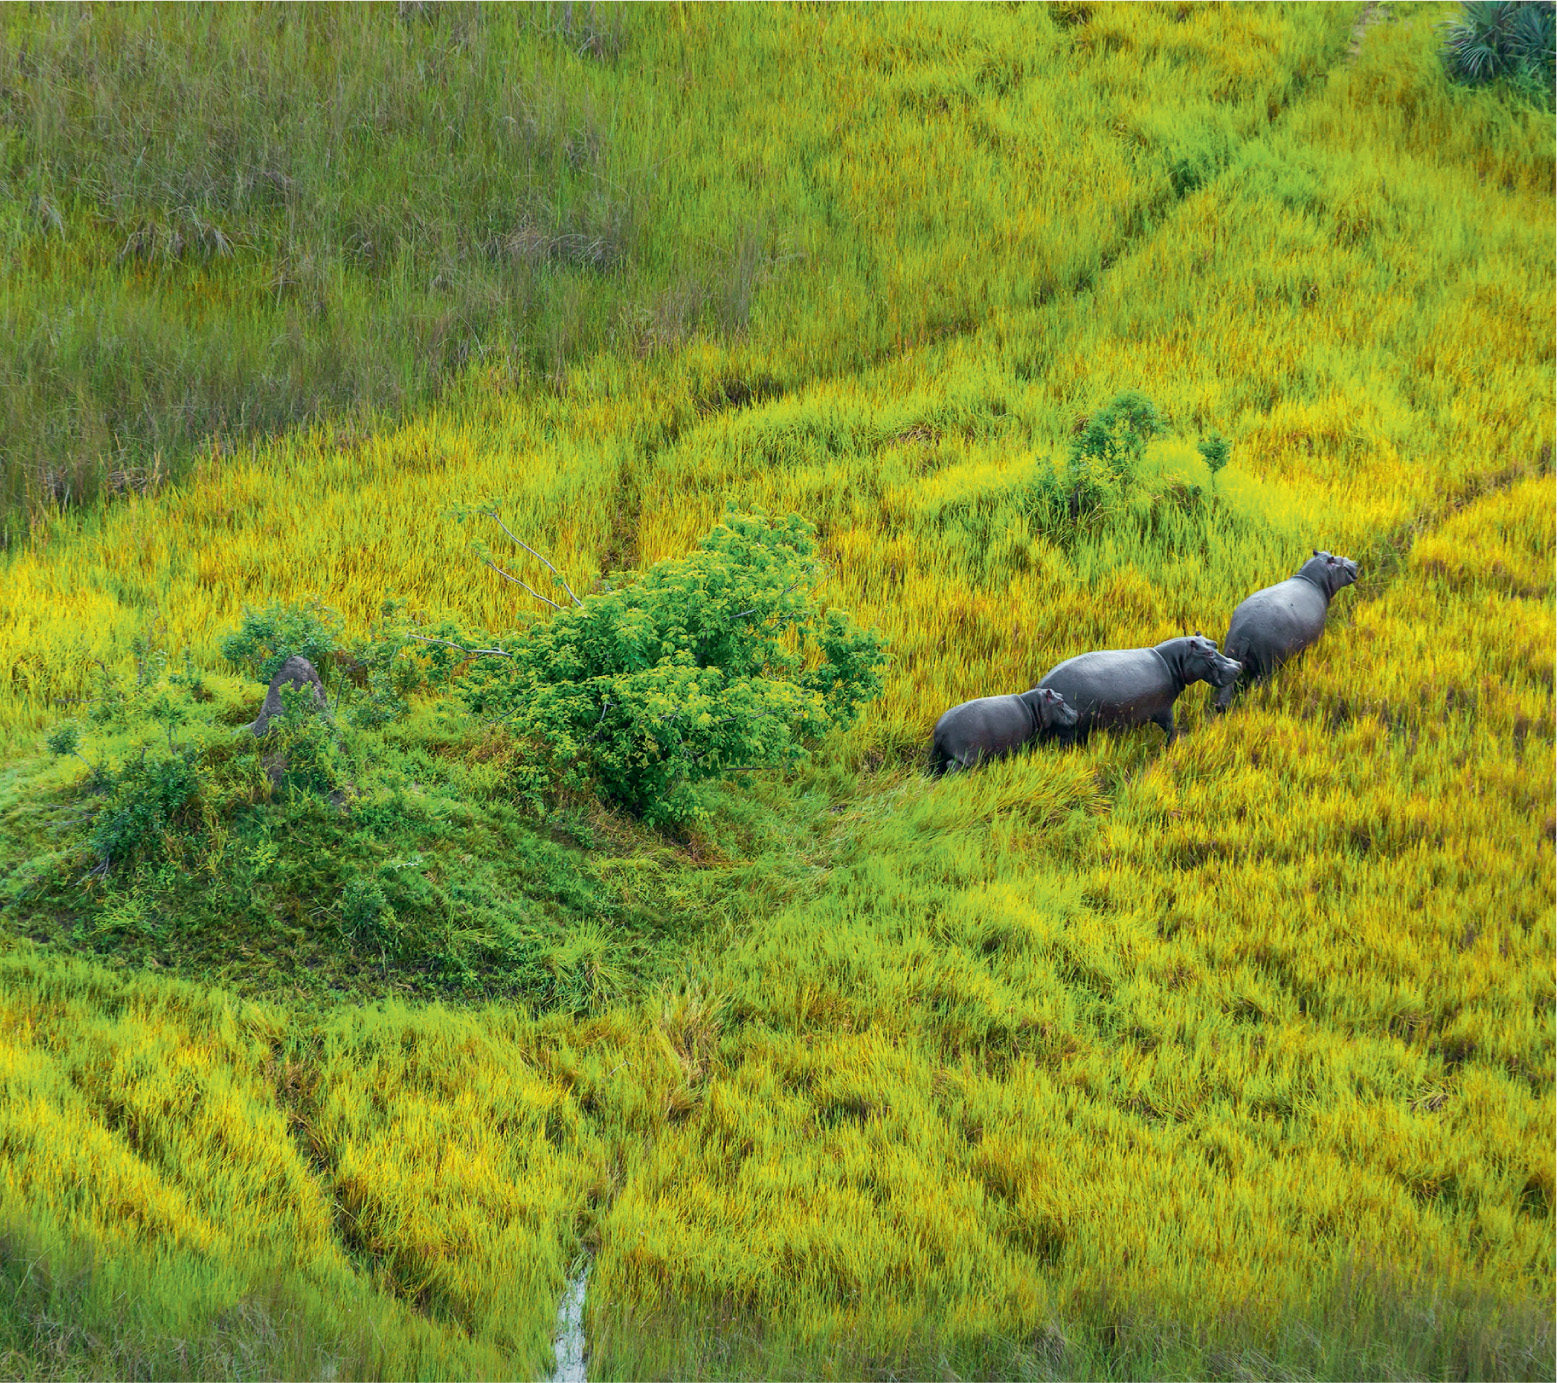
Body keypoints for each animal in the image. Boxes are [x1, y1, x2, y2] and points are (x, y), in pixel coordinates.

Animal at [927, 685, 1077, 772]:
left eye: (1061, 695)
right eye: (1060, 702)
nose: (1076, 712)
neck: (1033, 707)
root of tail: (941, 731)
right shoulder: (1018, 745)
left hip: (939, 753)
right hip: (968, 756)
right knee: (953, 765)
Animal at [1033, 635, 1239, 744]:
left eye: (1214, 644)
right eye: (1208, 653)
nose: (1237, 665)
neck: (1174, 662)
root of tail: (1040, 688)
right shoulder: (1164, 710)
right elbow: (1170, 729)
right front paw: (1170, 746)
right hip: (1071, 733)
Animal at [1208, 545, 1357, 713]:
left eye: (1329, 553)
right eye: (1339, 561)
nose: (1355, 562)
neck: (1312, 580)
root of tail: (1244, 635)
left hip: (1231, 654)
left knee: (1226, 687)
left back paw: (1222, 707)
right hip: (1265, 667)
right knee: (1257, 688)